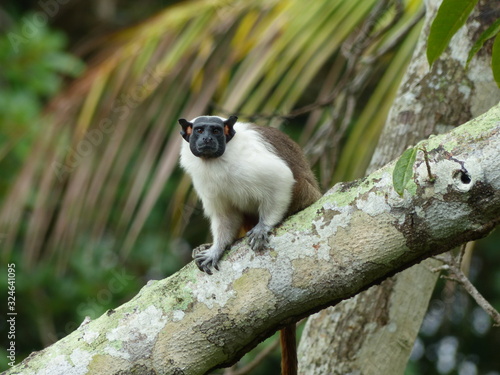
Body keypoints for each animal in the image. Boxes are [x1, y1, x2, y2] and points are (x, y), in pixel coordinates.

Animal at [178, 115, 322, 375]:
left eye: (216, 131)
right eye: (199, 131)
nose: (207, 140)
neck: (215, 162)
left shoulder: (248, 162)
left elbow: (281, 178)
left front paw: (264, 227)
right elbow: (225, 216)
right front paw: (216, 248)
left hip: (305, 195)